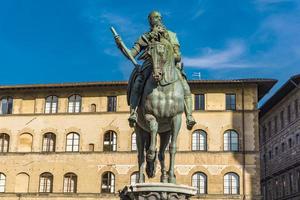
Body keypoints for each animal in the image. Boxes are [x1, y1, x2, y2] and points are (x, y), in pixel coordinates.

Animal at [134, 38, 185, 184]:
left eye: (162, 54)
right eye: (149, 56)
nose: (157, 75)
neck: (164, 87)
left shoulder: (176, 118)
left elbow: (172, 148)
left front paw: (171, 177)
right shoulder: (149, 115)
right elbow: (153, 128)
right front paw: (151, 155)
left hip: (166, 133)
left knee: (162, 153)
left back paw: (164, 177)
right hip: (139, 130)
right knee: (141, 155)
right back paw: (140, 179)